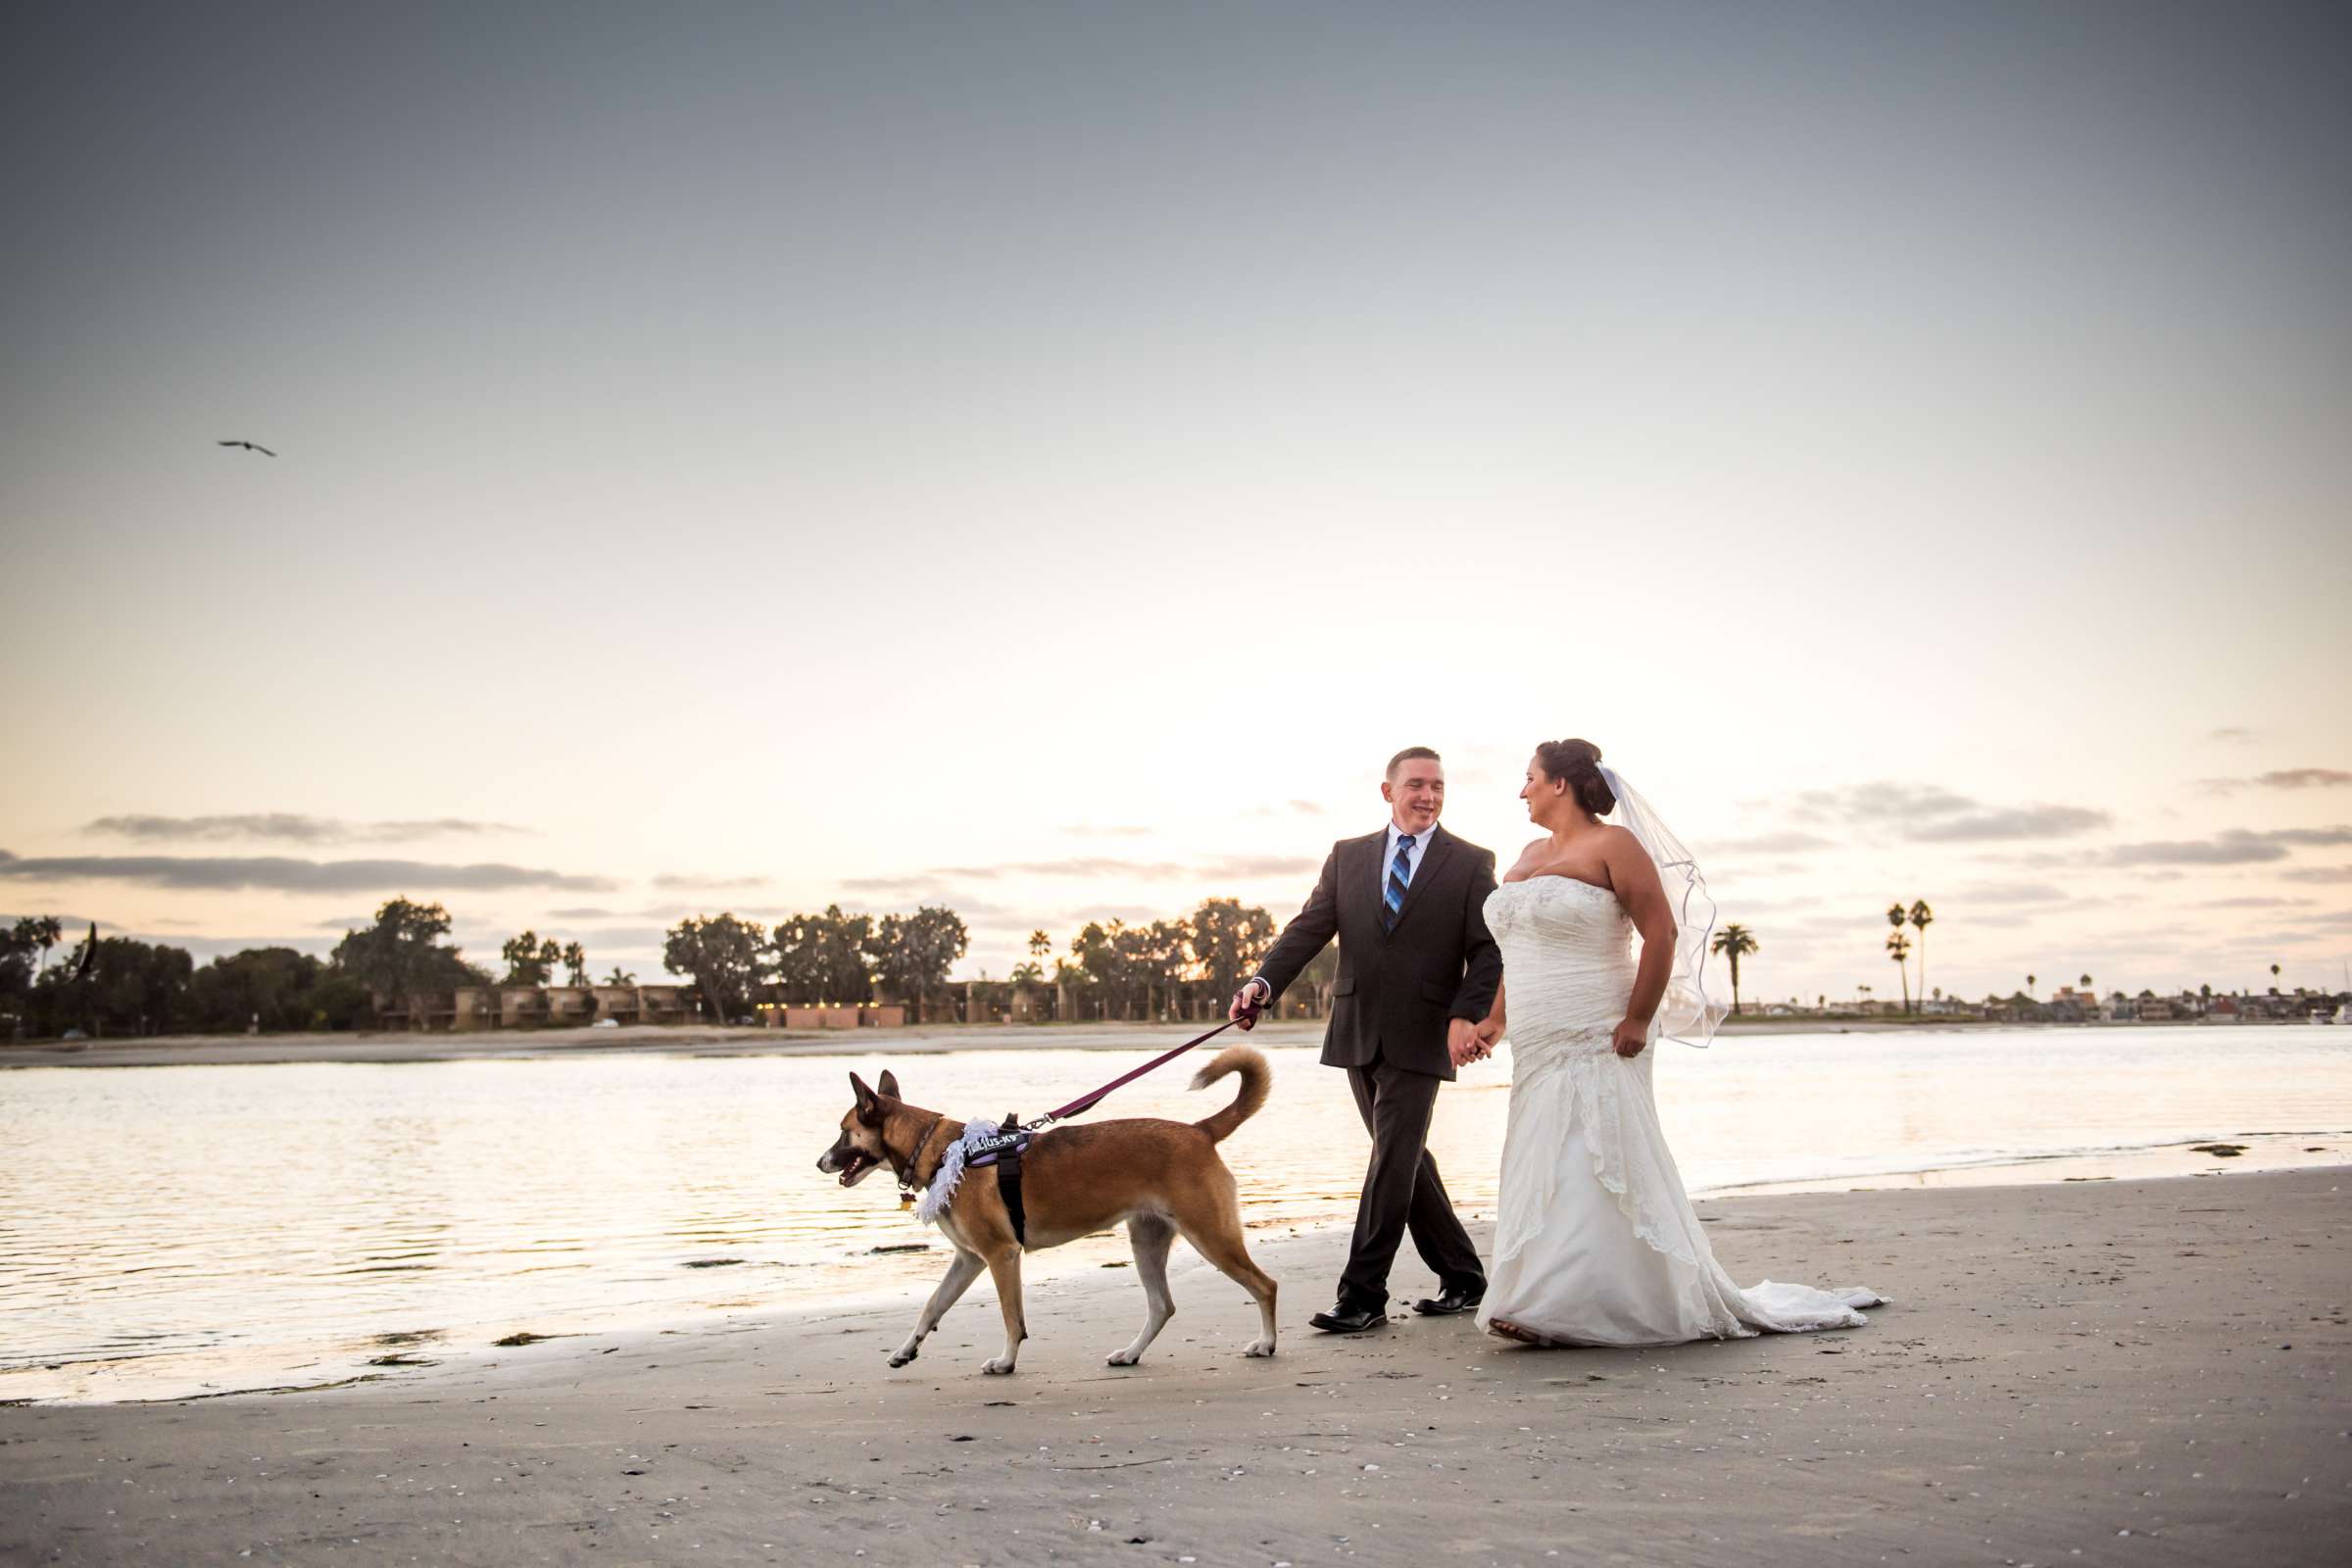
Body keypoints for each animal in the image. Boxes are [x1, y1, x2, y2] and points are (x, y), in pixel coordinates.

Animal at [818, 1053, 1279, 1372]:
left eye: (843, 1131)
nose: (820, 1162)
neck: (945, 1151)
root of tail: (1199, 1131)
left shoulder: (1001, 1256)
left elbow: (1011, 1317)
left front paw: (1006, 1362)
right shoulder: (968, 1260)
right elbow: (932, 1306)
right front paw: (905, 1349)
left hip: (1211, 1236)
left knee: (1265, 1285)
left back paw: (1267, 1343)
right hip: (1147, 1241)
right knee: (1162, 1307)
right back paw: (1131, 1353)